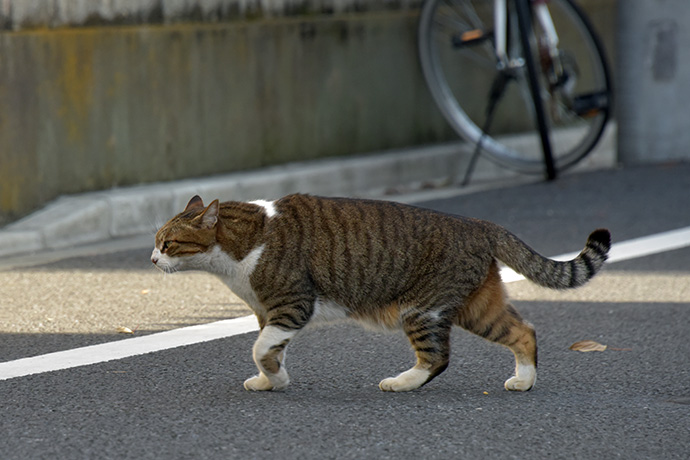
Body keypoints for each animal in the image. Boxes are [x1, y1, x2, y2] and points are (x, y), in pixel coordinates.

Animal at [152, 193, 608, 392]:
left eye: (168, 244)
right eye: (156, 243)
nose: (153, 261)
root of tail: (478, 223)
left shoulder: (292, 306)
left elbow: (260, 347)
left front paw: (272, 377)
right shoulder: (269, 313)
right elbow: (271, 352)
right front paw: (272, 381)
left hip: (422, 309)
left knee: (437, 357)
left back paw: (401, 382)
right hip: (477, 307)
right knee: (524, 331)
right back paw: (523, 381)